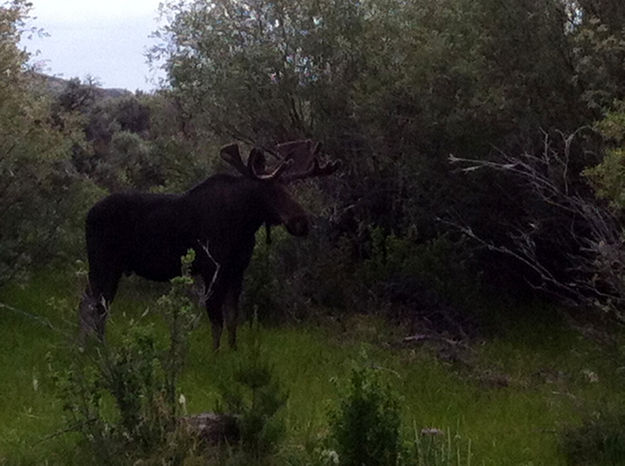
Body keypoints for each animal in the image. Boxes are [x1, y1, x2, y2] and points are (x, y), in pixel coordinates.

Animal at [80, 140, 338, 348]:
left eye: (288, 187)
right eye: (269, 190)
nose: (301, 222)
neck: (244, 224)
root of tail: (87, 215)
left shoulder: (237, 270)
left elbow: (233, 318)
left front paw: (233, 351)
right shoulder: (211, 268)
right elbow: (216, 321)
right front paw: (215, 355)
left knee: (91, 302)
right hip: (103, 263)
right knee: (97, 305)